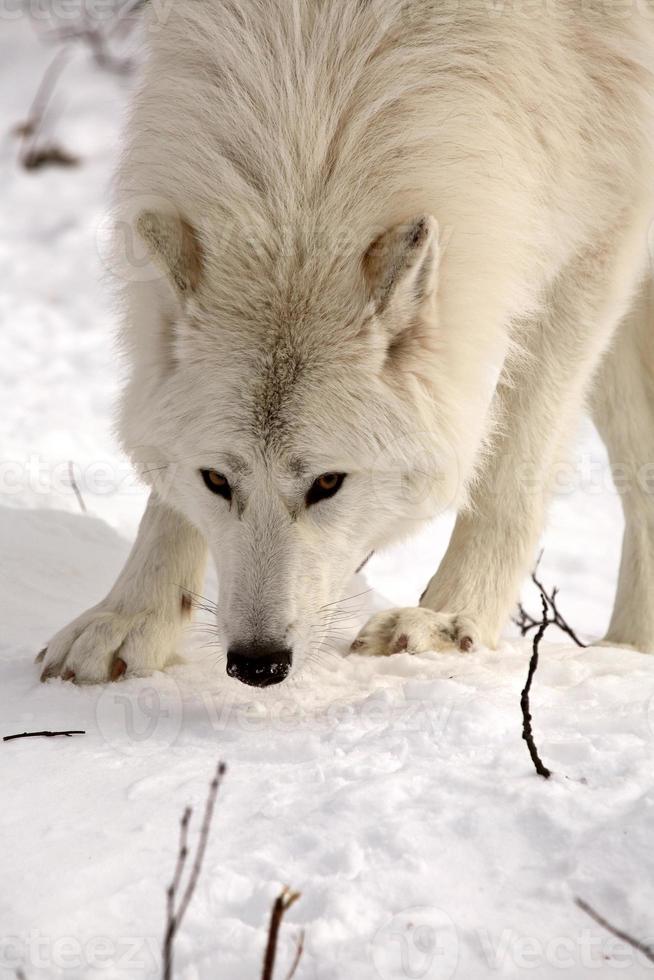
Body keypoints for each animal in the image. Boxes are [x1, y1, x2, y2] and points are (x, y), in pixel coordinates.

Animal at [39, 0, 654, 688]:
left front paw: (449, 622)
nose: (257, 663)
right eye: (217, 480)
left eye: (328, 483)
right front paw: (131, 618)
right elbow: (166, 498)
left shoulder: (600, 231)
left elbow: (511, 465)